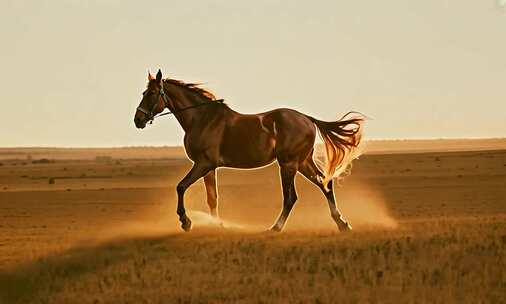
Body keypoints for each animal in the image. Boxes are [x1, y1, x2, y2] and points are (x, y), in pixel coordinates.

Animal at [134, 70, 364, 232]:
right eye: (144, 92)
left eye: (152, 94)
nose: (138, 120)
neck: (202, 119)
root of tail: (307, 119)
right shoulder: (209, 168)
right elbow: (212, 198)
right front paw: (217, 225)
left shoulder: (203, 164)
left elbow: (181, 187)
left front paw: (185, 221)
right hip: (302, 163)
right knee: (325, 184)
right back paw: (342, 224)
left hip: (288, 165)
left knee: (291, 197)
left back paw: (275, 228)